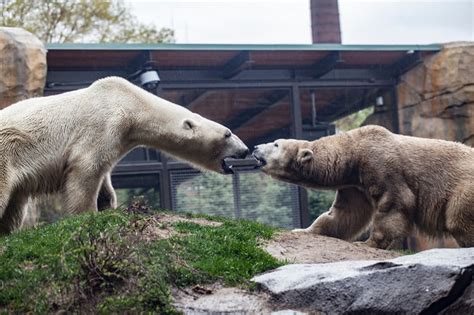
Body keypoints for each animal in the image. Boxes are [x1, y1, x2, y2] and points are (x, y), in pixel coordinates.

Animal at [0, 76, 250, 235]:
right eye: (228, 133)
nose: (246, 150)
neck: (129, 102)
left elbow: (103, 176)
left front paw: (106, 204)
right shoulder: (103, 122)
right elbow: (85, 167)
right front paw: (86, 214)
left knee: (15, 206)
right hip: (7, 150)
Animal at [254, 126, 474, 249]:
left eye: (276, 144)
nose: (255, 147)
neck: (354, 149)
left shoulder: (380, 163)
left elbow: (395, 202)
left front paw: (368, 242)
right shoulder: (354, 183)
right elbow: (346, 214)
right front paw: (302, 230)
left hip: (464, 186)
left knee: (458, 219)